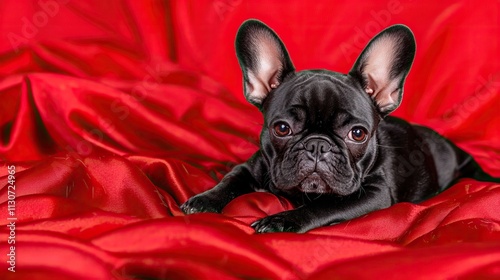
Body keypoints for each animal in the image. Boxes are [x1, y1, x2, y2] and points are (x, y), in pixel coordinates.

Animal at [180, 19, 496, 233]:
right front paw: (203, 199)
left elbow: (323, 205)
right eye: (281, 128)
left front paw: (280, 220)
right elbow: (230, 178)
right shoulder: (252, 166)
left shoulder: (373, 194)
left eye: (358, 134)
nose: (318, 145)